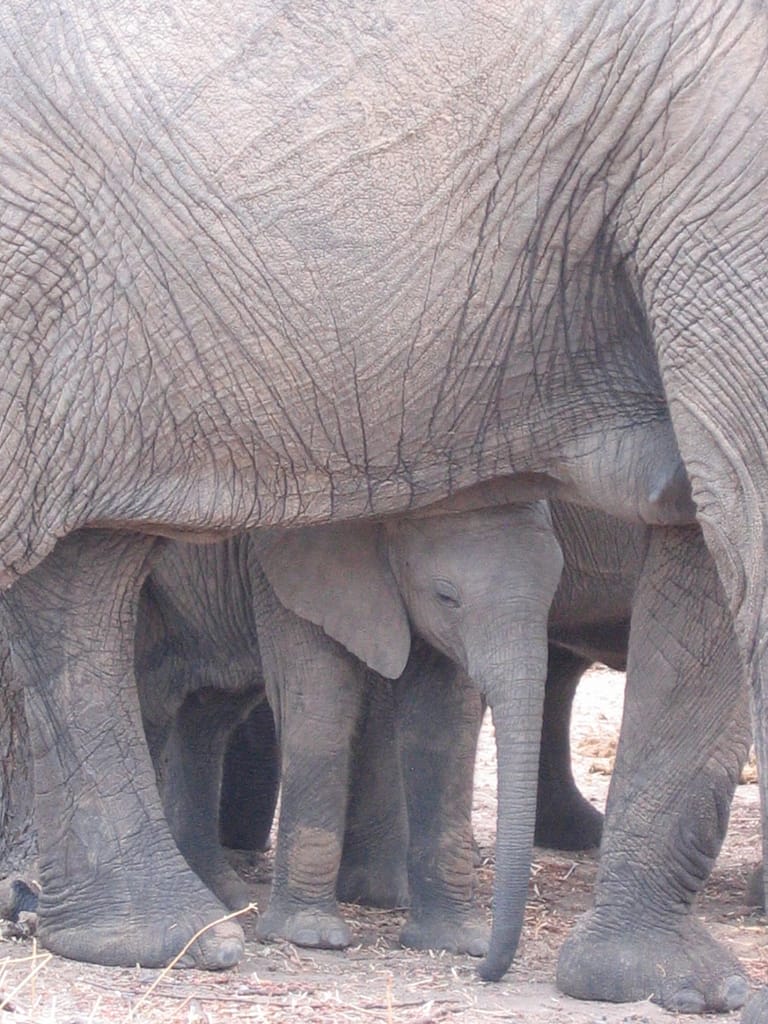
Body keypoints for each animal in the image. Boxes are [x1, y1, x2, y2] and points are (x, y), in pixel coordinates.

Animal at [0, 0, 765, 1011]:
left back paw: (159, 934)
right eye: (442, 595)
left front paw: (670, 984)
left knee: (83, 570)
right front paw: (327, 936)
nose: (490, 972)